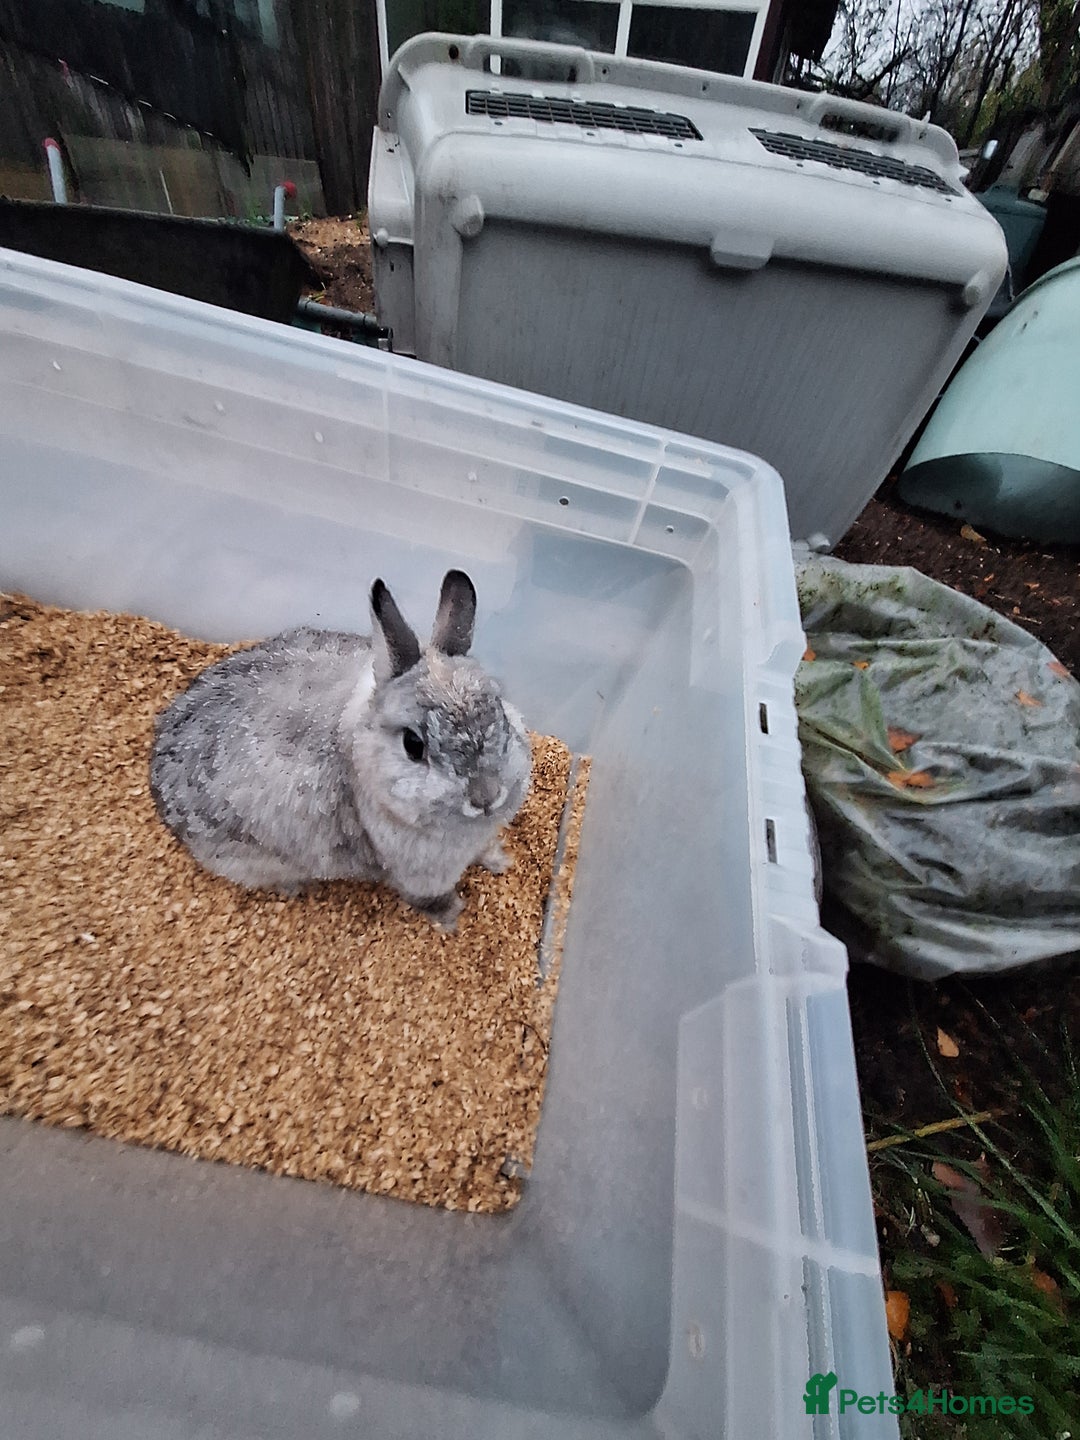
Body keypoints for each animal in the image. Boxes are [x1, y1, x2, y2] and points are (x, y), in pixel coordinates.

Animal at [149, 570, 532, 929]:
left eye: (498, 708)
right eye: (413, 745)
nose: (486, 796)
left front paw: (501, 862)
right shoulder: (420, 877)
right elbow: (430, 900)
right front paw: (453, 920)